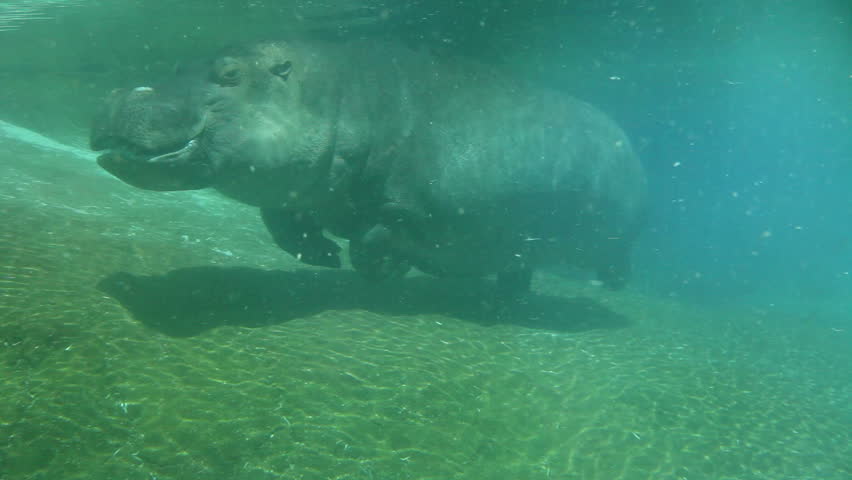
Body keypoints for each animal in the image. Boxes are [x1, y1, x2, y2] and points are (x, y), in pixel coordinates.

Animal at [91, 40, 647, 294]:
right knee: (517, 270)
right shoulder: (293, 184)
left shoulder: (410, 205)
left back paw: (609, 286)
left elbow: (376, 234)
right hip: (521, 250)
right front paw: (322, 257)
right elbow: (282, 226)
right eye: (179, 64)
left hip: (618, 236)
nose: (126, 94)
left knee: (613, 260)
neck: (336, 97)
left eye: (230, 73)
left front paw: (382, 270)